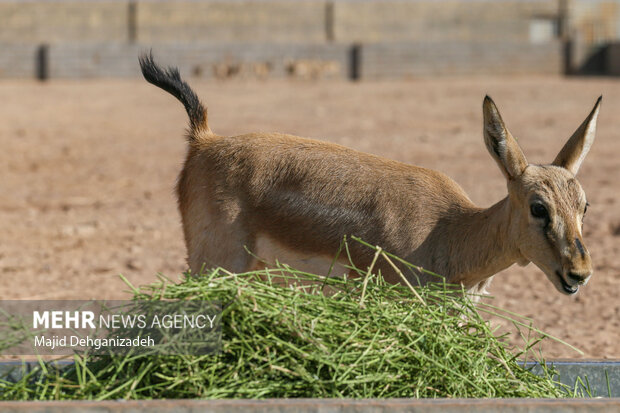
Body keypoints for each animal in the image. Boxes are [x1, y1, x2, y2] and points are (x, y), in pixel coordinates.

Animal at [140, 54, 600, 296]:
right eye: (538, 207)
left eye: (584, 205)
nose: (579, 272)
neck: (449, 232)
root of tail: (205, 139)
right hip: (214, 266)